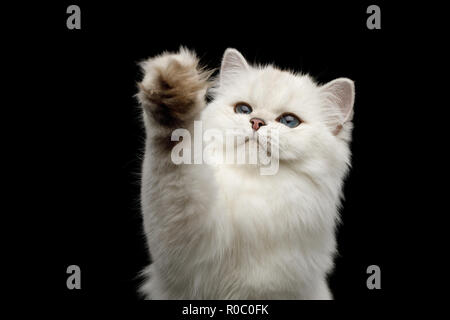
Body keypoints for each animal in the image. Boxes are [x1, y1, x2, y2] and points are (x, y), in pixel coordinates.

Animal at [137, 47, 356, 300]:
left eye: (289, 121)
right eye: (243, 109)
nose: (256, 122)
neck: (252, 189)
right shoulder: (185, 244)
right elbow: (173, 158)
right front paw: (171, 85)